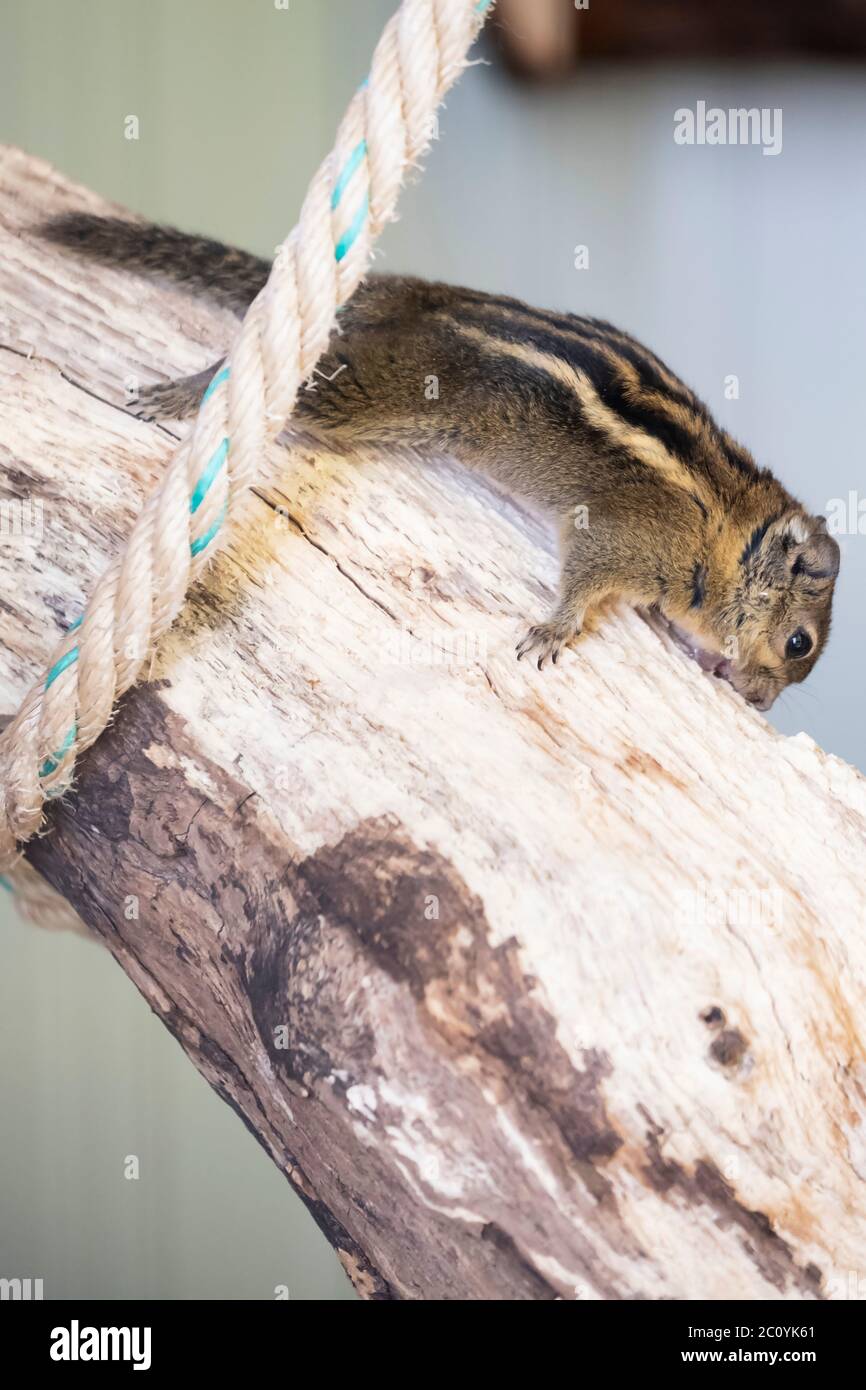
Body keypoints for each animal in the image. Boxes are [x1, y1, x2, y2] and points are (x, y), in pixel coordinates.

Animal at [41, 212, 840, 712]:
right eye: (798, 643)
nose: (758, 701)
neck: (729, 531)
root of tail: (415, 298)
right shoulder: (621, 540)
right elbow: (581, 585)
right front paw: (553, 630)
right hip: (373, 390)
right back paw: (183, 392)